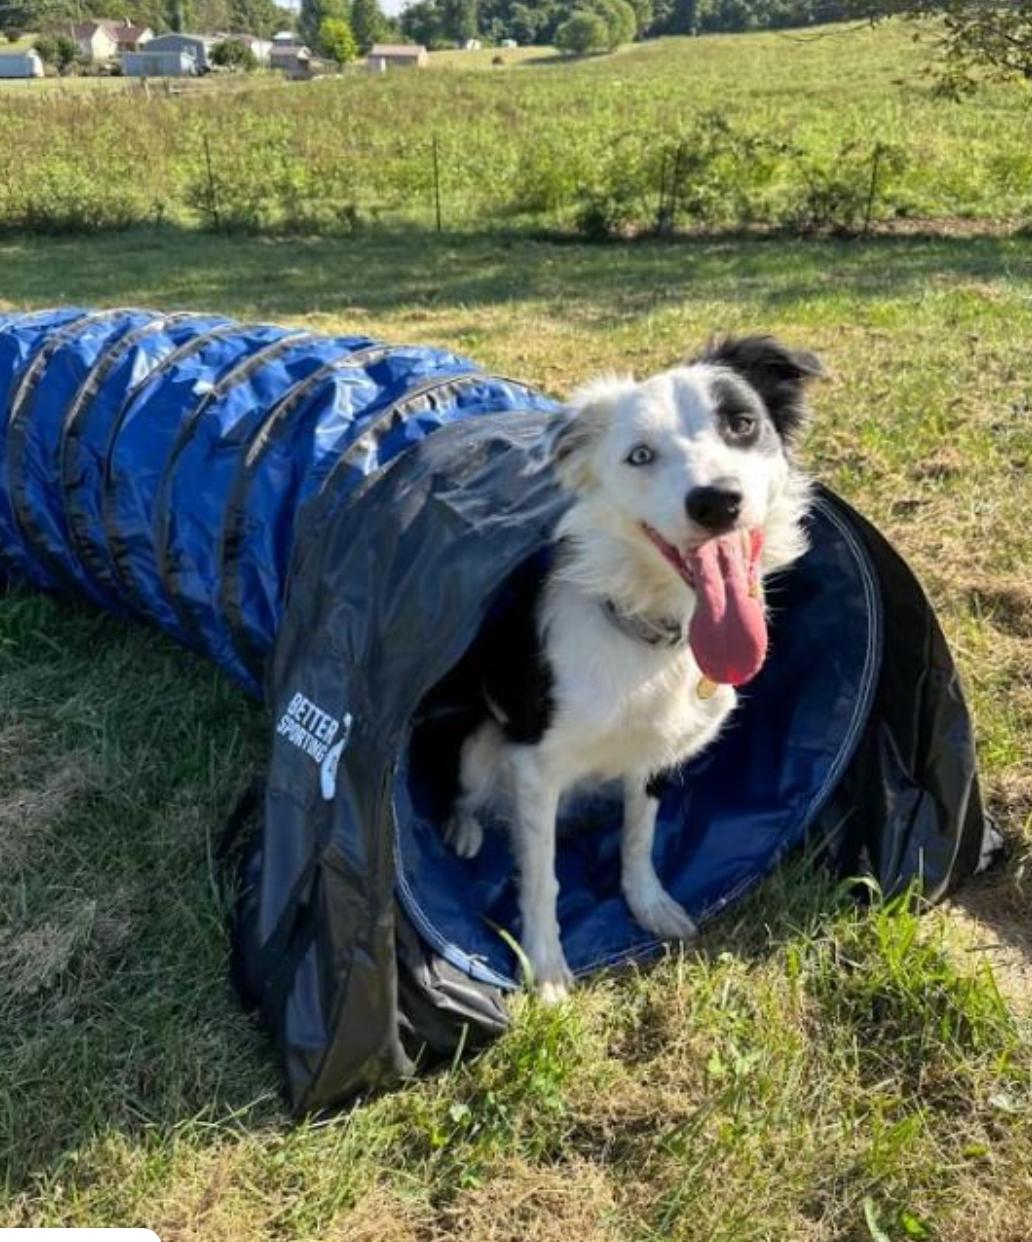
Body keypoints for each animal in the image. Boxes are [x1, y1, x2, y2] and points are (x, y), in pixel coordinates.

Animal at [443, 336, 824, 1000]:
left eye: (741, 424)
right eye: (640, 456)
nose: (716, 501)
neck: (649, 632)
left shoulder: (656, 755)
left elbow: (639, 837)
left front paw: (648, 904)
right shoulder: (534, 767)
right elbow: (541, 879)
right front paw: (546, 969)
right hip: (476, 739)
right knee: (468, 795)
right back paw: (463, 831)